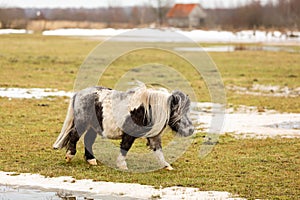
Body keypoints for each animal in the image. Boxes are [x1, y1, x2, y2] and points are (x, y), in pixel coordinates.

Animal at [53, 83, 195, 170]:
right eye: (177, 111)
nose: (191, 130)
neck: (144, 110)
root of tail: (79, 93)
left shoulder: (153, 136)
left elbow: (158, 150)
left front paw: (167, 166)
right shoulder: (129, 135)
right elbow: (125, 148)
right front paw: (122, 166)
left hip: (93, 127)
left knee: (88, 139)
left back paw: (91, 160)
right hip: (82, 123)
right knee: (74, 135)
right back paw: (69, 157)